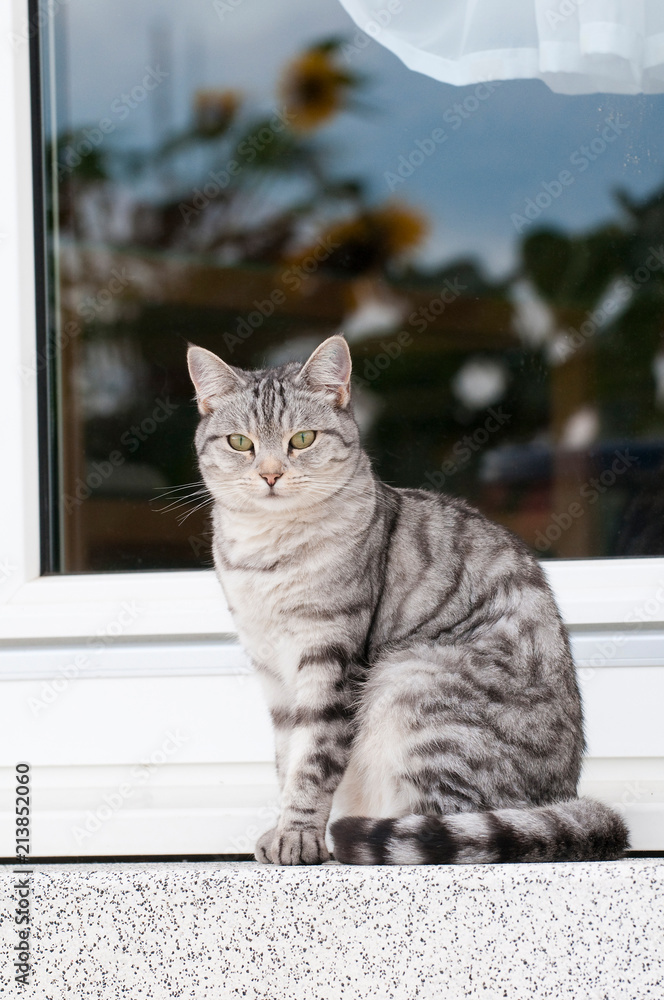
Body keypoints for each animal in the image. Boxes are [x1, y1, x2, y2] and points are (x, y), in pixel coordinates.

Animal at [185, 336, 628, 868]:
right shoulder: (272, 670)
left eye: (302, 439)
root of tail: (563, 796)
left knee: (438, 825)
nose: (270, 474)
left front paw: (298, 835)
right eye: (240, 443)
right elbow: (286, 758)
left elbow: (312, 762)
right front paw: (285, 829)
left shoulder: (330, 658)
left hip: (411, 681)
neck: (268, 553)